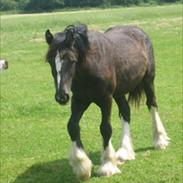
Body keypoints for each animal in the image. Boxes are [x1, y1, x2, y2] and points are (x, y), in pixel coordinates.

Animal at [44, 23, 170, 181]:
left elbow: (105, 128)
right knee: (126, 112)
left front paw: (108, 165)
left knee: (152, 105)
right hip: (119, 93)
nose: (62, 96)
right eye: (50, 61)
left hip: (148, 81)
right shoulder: (80, 100)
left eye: (71, 60)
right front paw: (82, 166)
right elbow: (72, 126)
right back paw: (124, 151)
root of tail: (138, 30)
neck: (90, 67)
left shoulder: (106, 99)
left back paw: (160, 141)